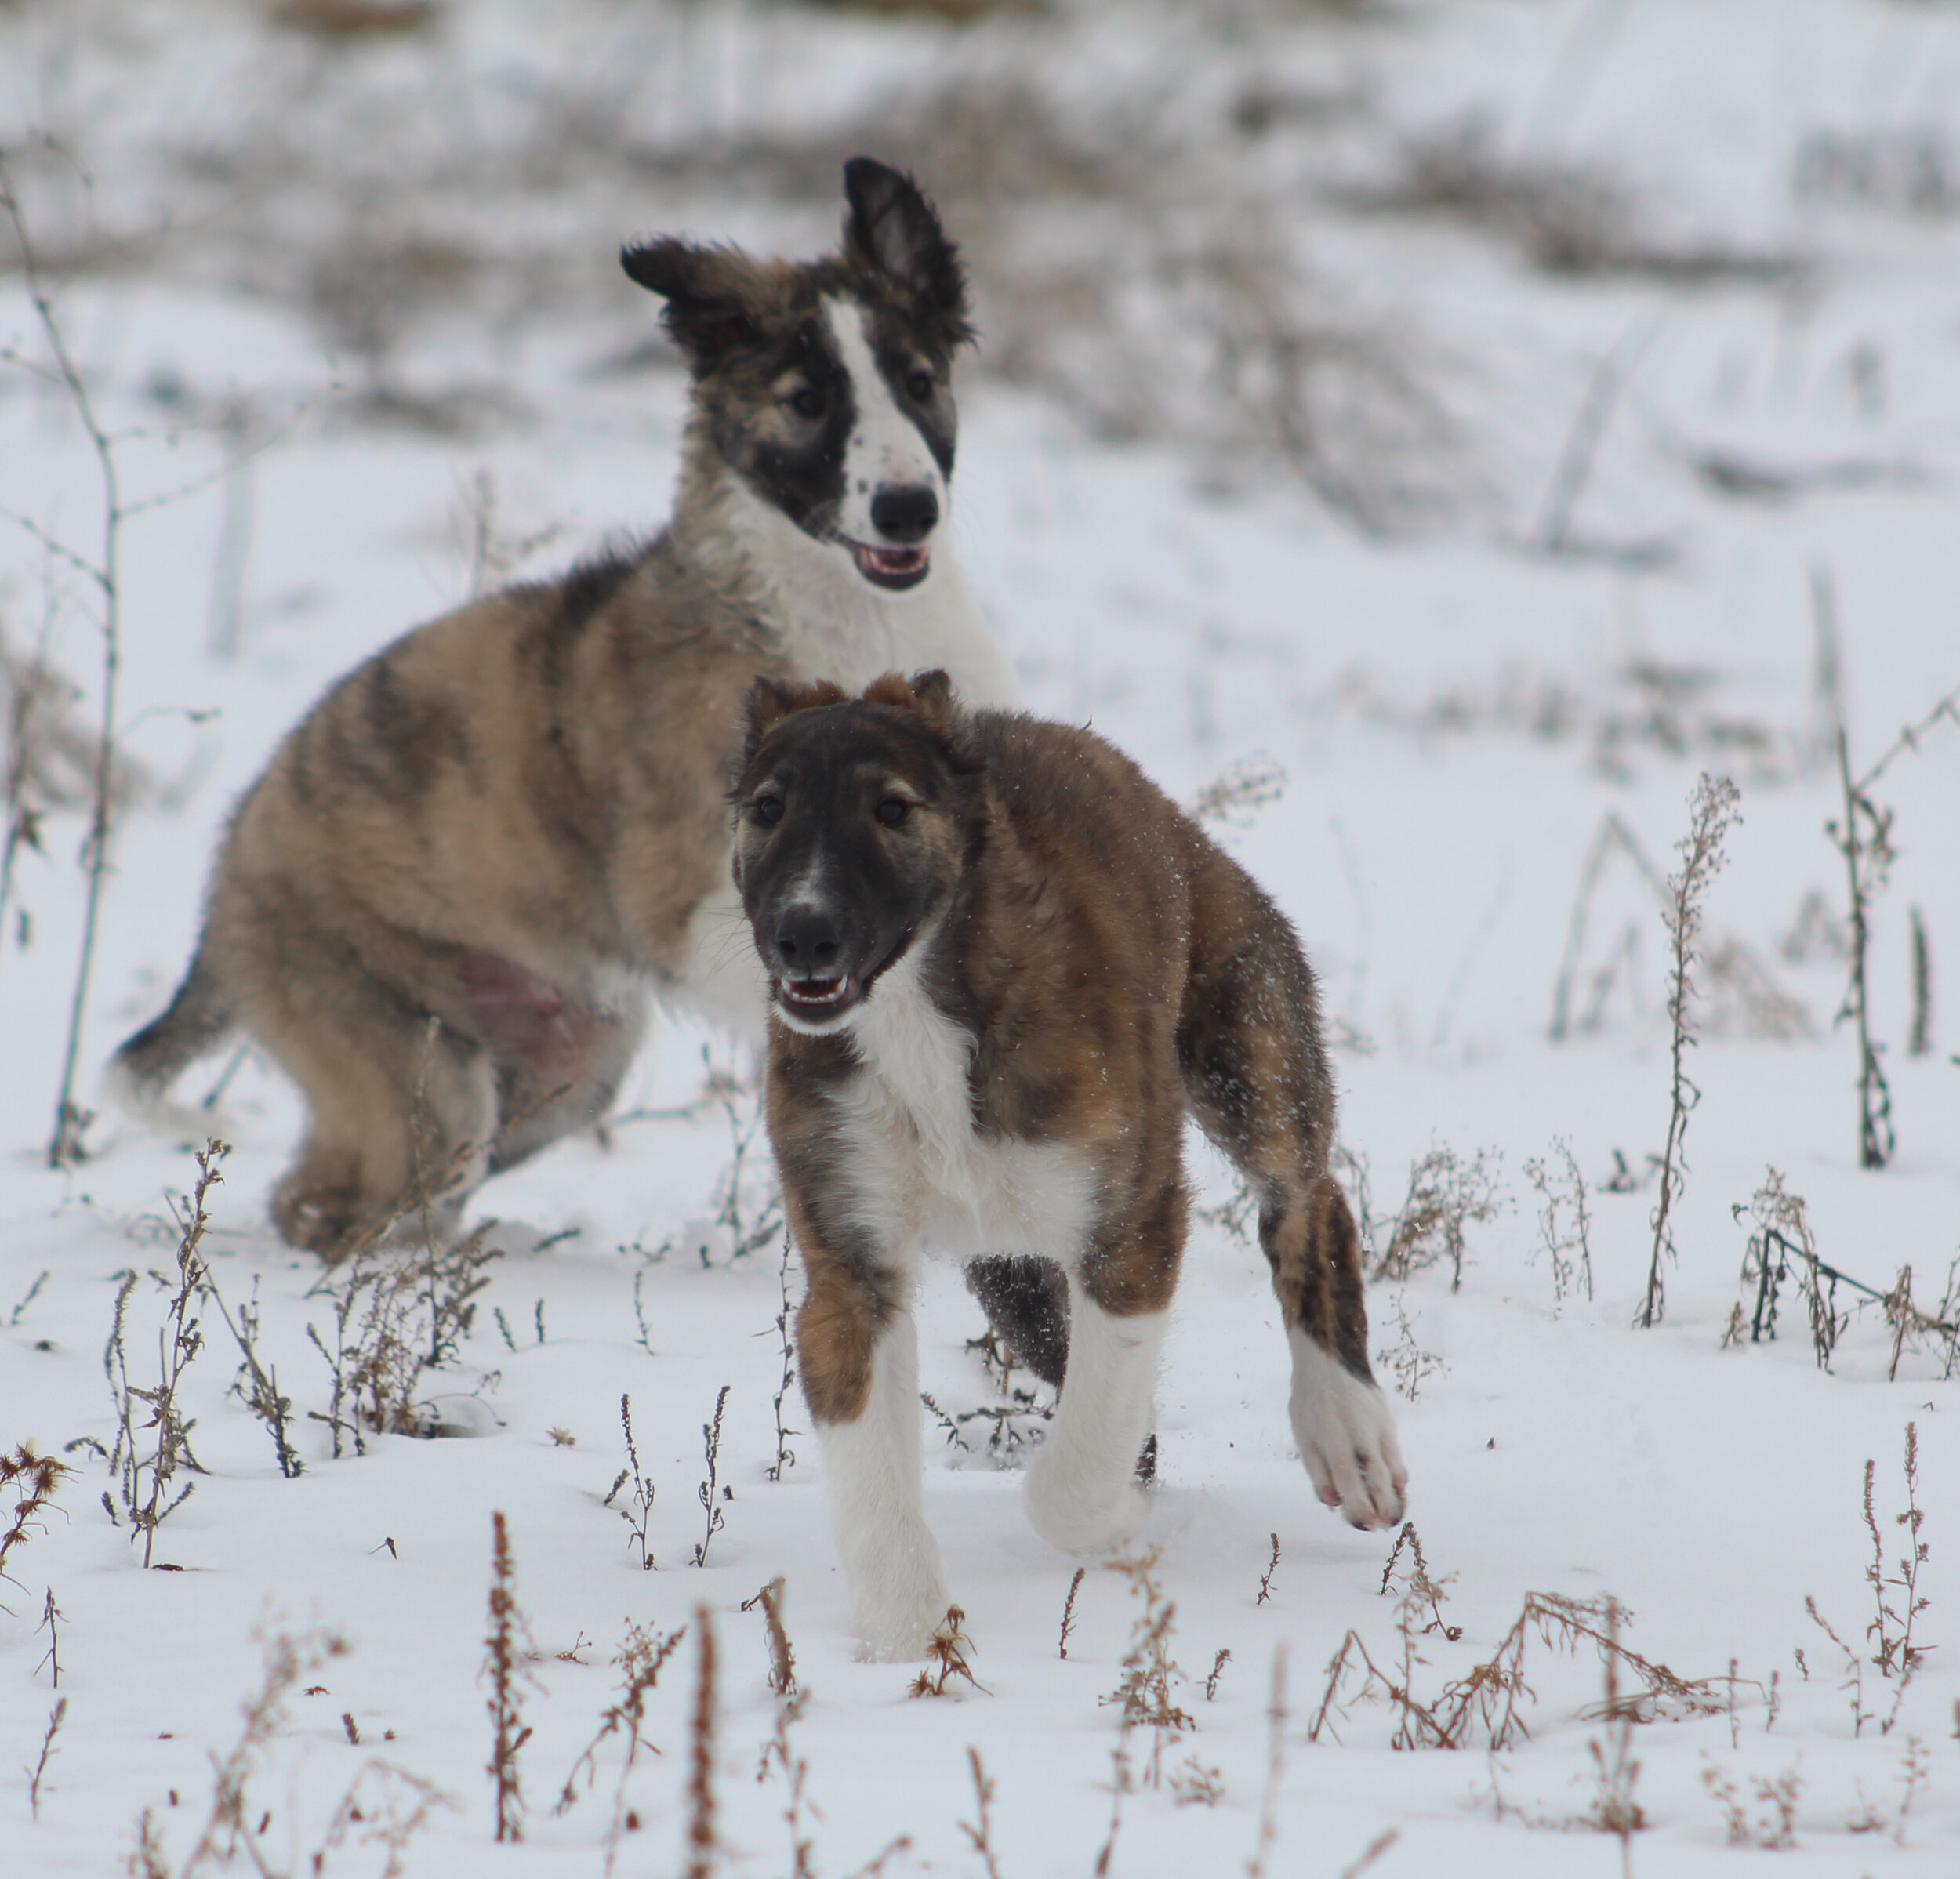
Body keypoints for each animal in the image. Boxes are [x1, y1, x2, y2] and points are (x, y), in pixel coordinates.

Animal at [111, 158, 1011, 1246]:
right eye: (805, 402)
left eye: (919, 384)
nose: (907, 509)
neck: (851, 615)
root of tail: (232, 859)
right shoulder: (687, 905)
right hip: (408, 1069)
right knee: (325, 1204)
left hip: (562, 1061)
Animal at [729, 669, 1403, 1653]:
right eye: (767, 809)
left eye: (892, 808)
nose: (802, 936)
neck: (921, 1018)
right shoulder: (850, 1272)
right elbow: (872, 1485)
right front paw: (910, 1648)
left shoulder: (1132, 1225)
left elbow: (1075, 1473)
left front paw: (1119, 1517)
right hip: (1006, 1273)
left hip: (1251, 1053)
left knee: (1308, 1208)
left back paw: (1345, 1431)